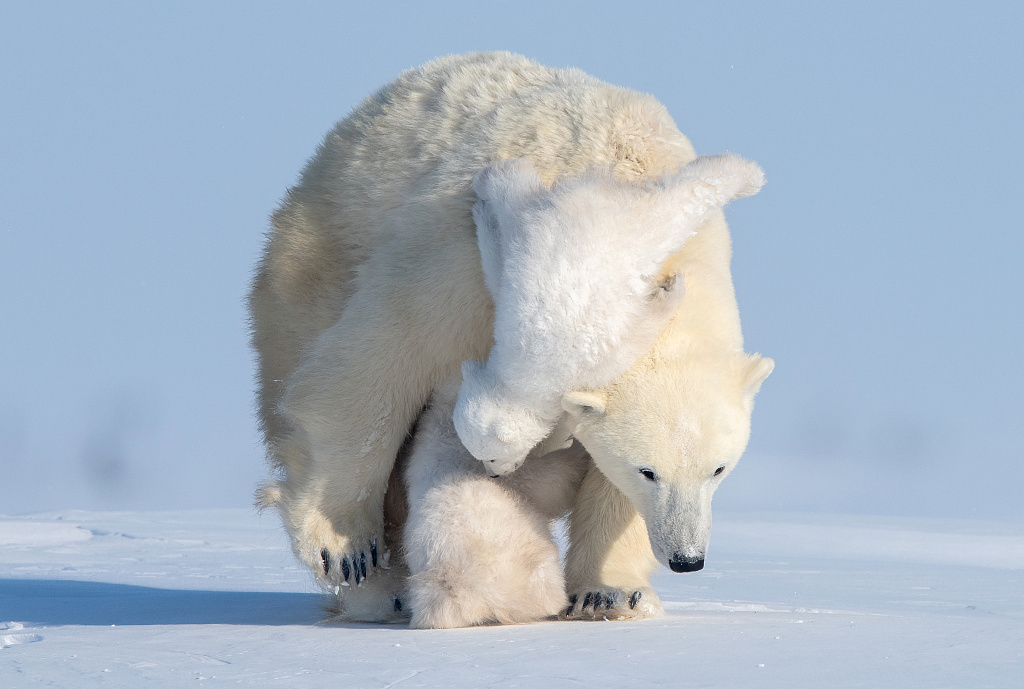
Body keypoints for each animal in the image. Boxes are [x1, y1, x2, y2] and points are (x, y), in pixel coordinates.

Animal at [251, 53, 770, 622]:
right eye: (648, 470)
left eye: (718, 469)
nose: (687, 559)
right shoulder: (463, 273)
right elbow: (381, 359)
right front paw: (344, 547)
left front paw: (608, 592)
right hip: (320, 250)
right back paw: (381, 588)